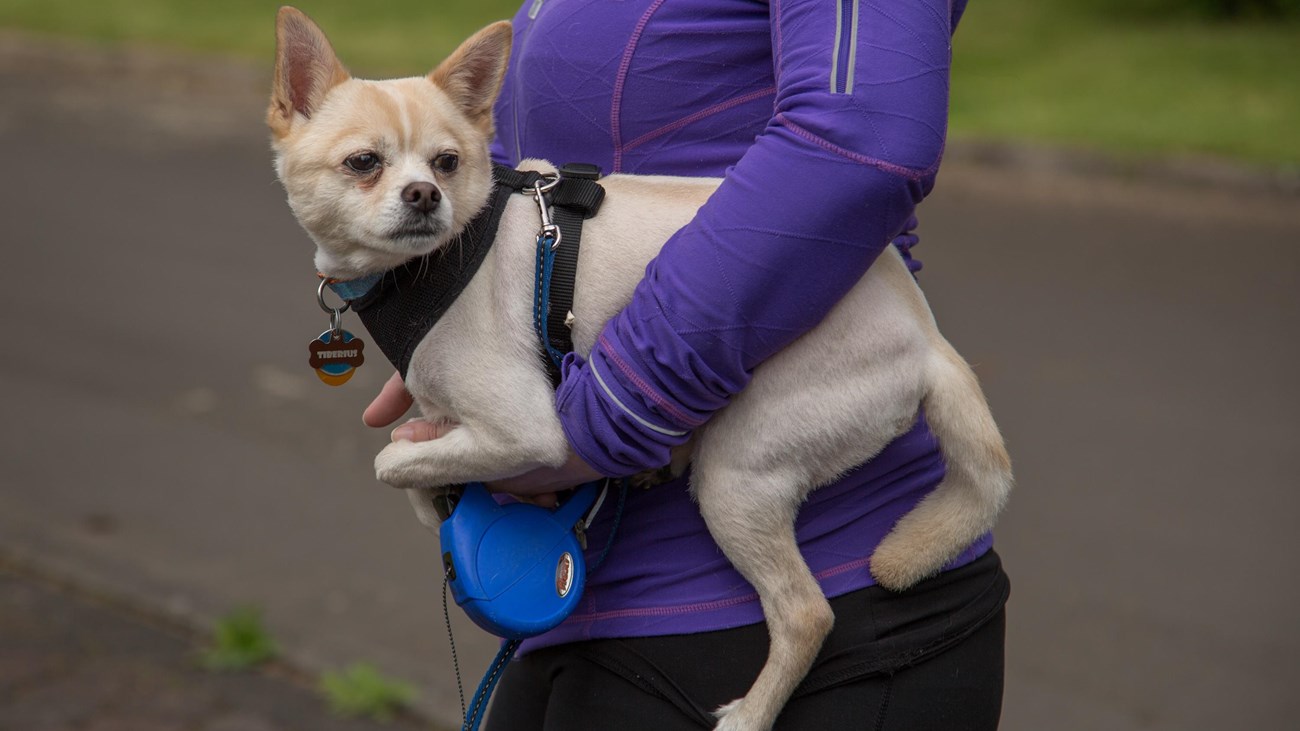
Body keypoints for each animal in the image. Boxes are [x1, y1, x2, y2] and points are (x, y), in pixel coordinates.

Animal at [266, 7, 1013, 728]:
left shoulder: (525, 430)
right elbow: (428, 475)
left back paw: (748, 713)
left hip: (739, 477)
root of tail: (929, 341)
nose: (425, 194)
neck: (430, 267)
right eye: (364, 162)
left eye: (446, 162)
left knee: (807, 613)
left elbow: (394, 461)